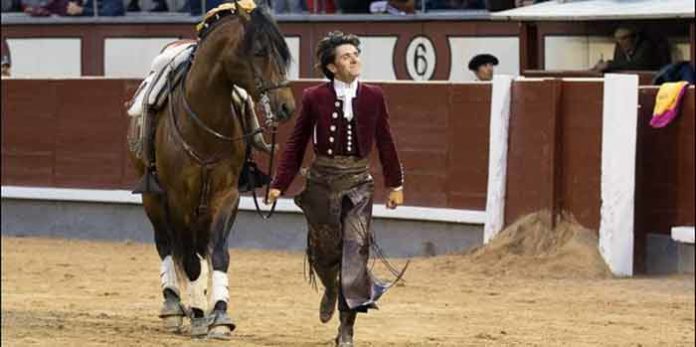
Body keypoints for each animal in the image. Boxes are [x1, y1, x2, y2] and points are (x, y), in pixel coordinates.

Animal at [128, 1, 294, 342]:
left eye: (283, 54)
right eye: (259, 51)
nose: (287, 107)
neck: (204, 122)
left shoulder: (226, 195)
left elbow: (218, 254)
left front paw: (218, 314)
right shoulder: (177, 198)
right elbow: (189, 260)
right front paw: (199, 316)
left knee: (200, 247)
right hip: (153, 199)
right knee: (166, 244)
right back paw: (175, 308)